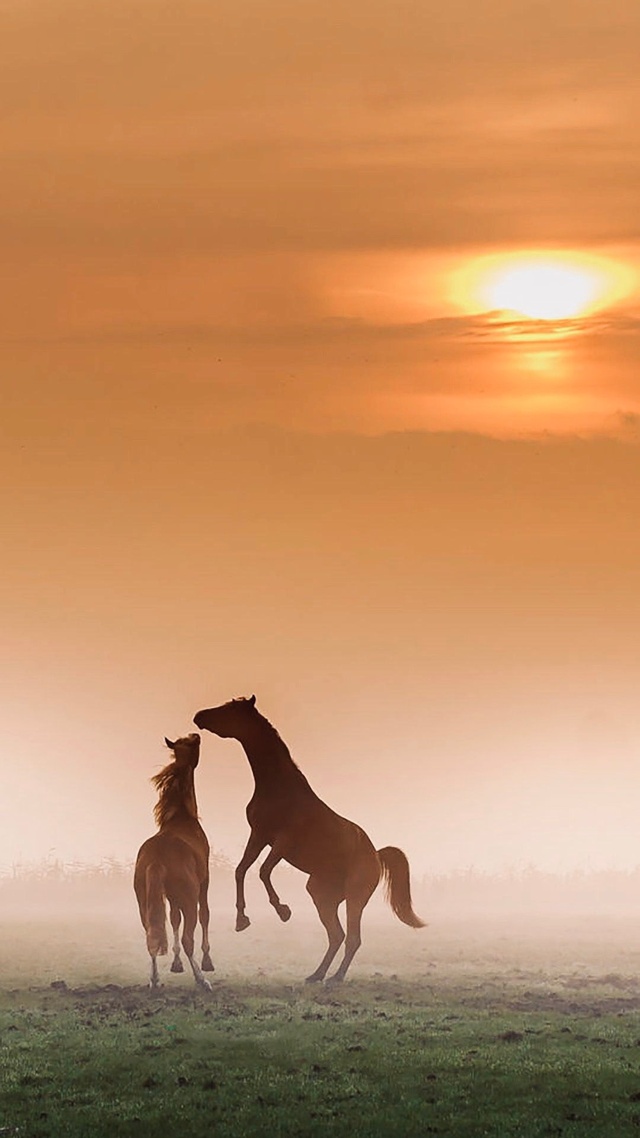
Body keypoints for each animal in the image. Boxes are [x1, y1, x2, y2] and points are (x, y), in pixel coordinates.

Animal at [133, 732, 212, 992]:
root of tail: (157, 857)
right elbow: (205, 915)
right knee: (189, 937)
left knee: (152, 936)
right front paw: (207, 961)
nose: (197, 734)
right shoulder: (205, 883)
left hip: (144, 903)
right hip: (189, 900)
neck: (181, 817)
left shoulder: (169, 897)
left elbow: (173, 920)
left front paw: (176, 964)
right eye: (194, 744)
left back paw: (154, 980)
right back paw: (202, 979)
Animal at [193, 696, 423, 983]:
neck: (278, 787)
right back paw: (317, 975)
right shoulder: (259, 836)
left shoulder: (282, 841)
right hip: (322, 897)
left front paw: (283, 911)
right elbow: (241, 870)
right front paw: (241, 920)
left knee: (352, 938)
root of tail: (376, 855)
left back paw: (334, 978)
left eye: (230, 709)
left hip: (355, 898)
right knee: (337, 936)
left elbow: (263, 871)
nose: (199, 716)